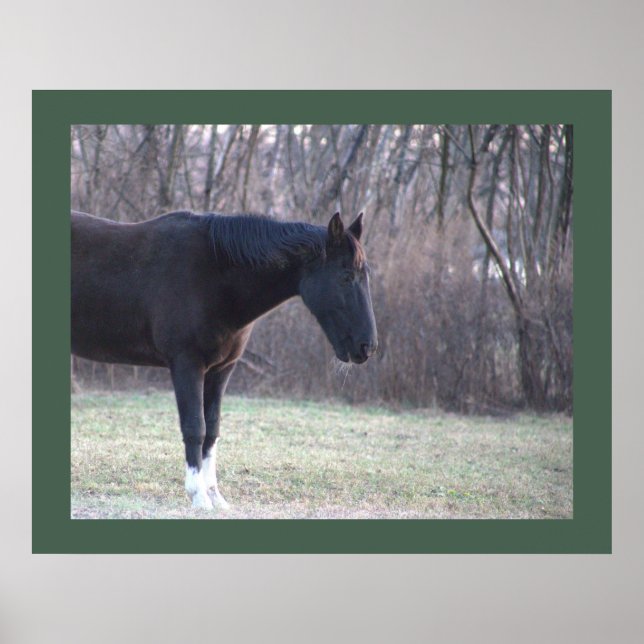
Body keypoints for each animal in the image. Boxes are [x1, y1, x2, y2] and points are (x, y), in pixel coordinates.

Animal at [71, 210, 378, 509]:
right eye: (346, 276)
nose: (368, 346)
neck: (214, 276)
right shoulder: (187, 365)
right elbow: (195, 427)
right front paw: (198, 496)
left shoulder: (221, 370)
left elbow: (212, 429)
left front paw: (214, 495)